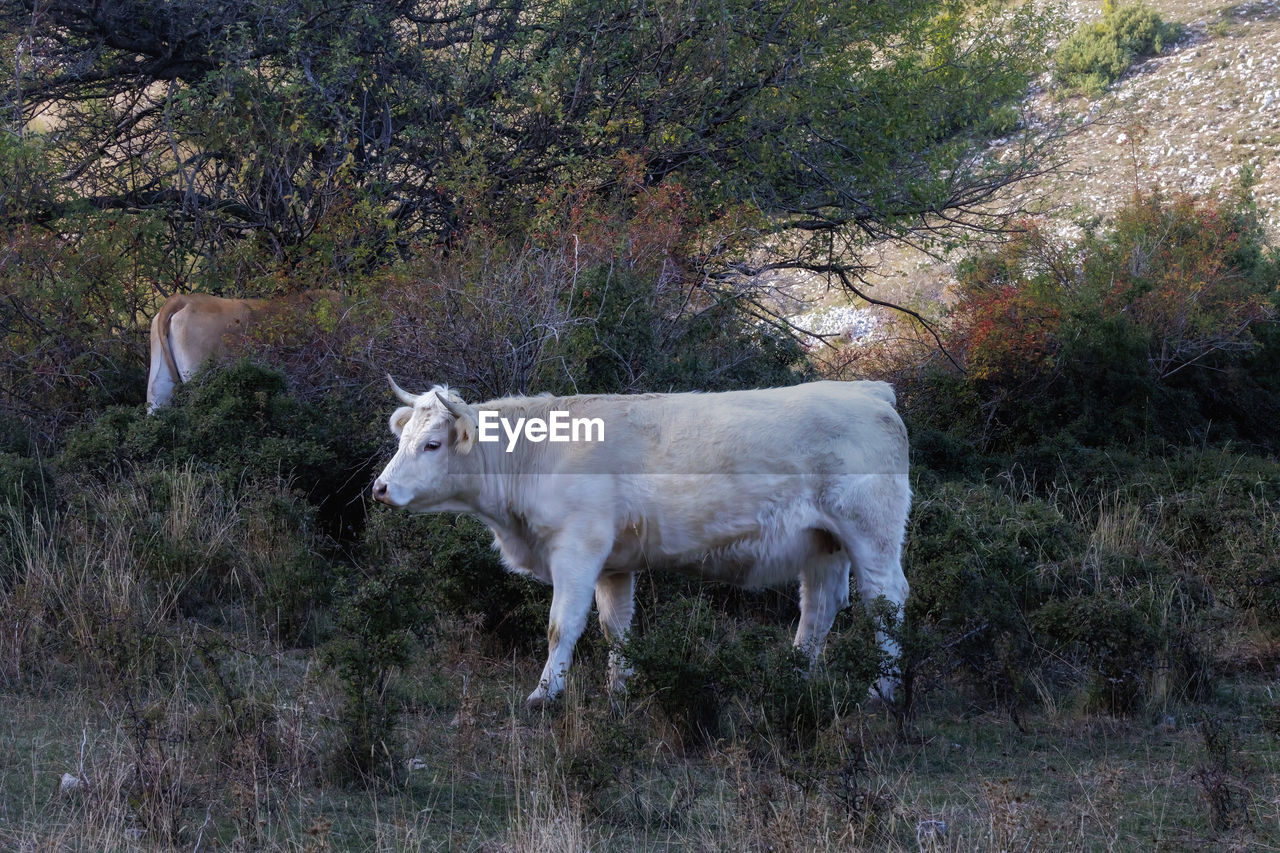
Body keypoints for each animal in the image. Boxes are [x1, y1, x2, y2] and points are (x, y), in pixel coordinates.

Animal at [371, 376, 911, 701]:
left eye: (432, 444)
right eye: (402, 440)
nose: (380, 488)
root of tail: (868, 390)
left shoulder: (577, 549)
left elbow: (561, 625)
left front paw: (545, 695)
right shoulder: (614, 564)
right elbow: (617, 629)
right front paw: (620, 691)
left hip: (871, 532)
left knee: (886, 602)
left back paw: (882, 691)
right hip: (823, 542)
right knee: (819, 608)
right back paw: (793, 680)